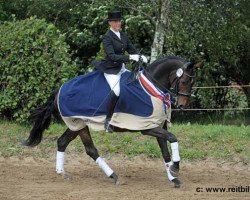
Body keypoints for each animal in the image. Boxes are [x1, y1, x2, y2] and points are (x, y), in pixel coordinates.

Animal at [23, 55, 202, 188]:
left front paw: (173, 177)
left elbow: (165, 152)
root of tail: (60, 89)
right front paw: (176, 167)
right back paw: (113, 176)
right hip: (79, 124)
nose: (182, 105)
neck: (150, 89)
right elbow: (173, 138)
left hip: (76, 124)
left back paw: (62, 173)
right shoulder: (147, 128)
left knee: (64, 142)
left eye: (193, 82)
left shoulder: (158, 125)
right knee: (90, 149)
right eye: (184, 81)